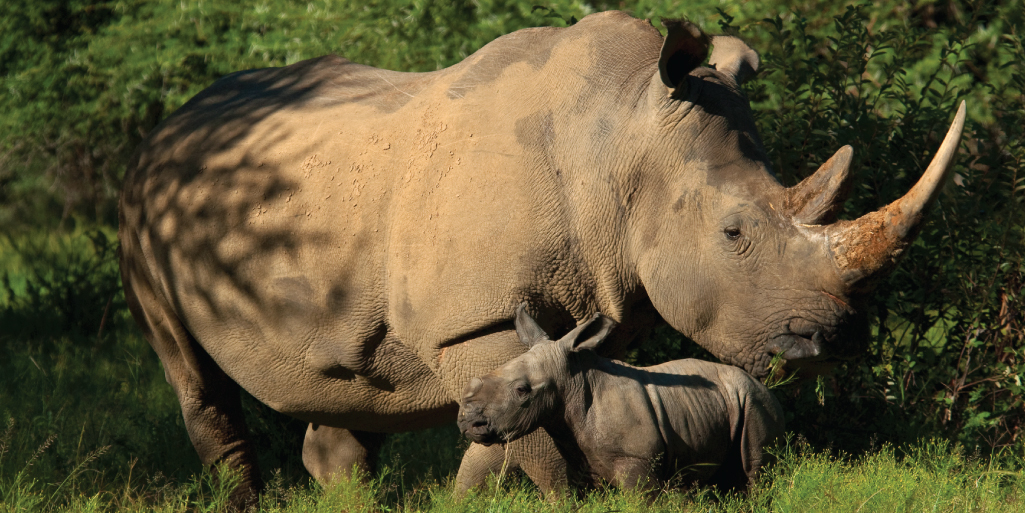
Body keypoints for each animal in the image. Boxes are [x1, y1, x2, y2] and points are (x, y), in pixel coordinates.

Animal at [458, 304, 785, 491]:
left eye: (521, 390)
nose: (468, 422)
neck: (573, 381)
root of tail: (766, 387)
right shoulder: (582, 462)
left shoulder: (636, 461)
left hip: (755, 401)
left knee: (755, 471)